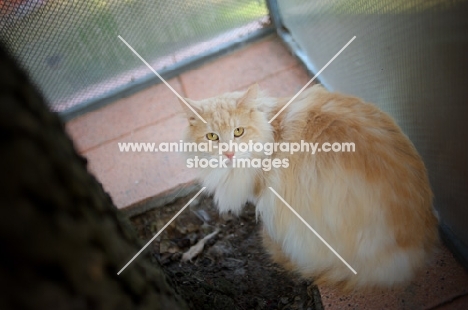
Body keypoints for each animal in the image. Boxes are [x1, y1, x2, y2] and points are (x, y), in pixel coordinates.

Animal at [177, 83, 440, 290]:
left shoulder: (264, 191)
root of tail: (417, 243)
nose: (229, 153)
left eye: (238, 132)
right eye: (212, 137)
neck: (271, 131)